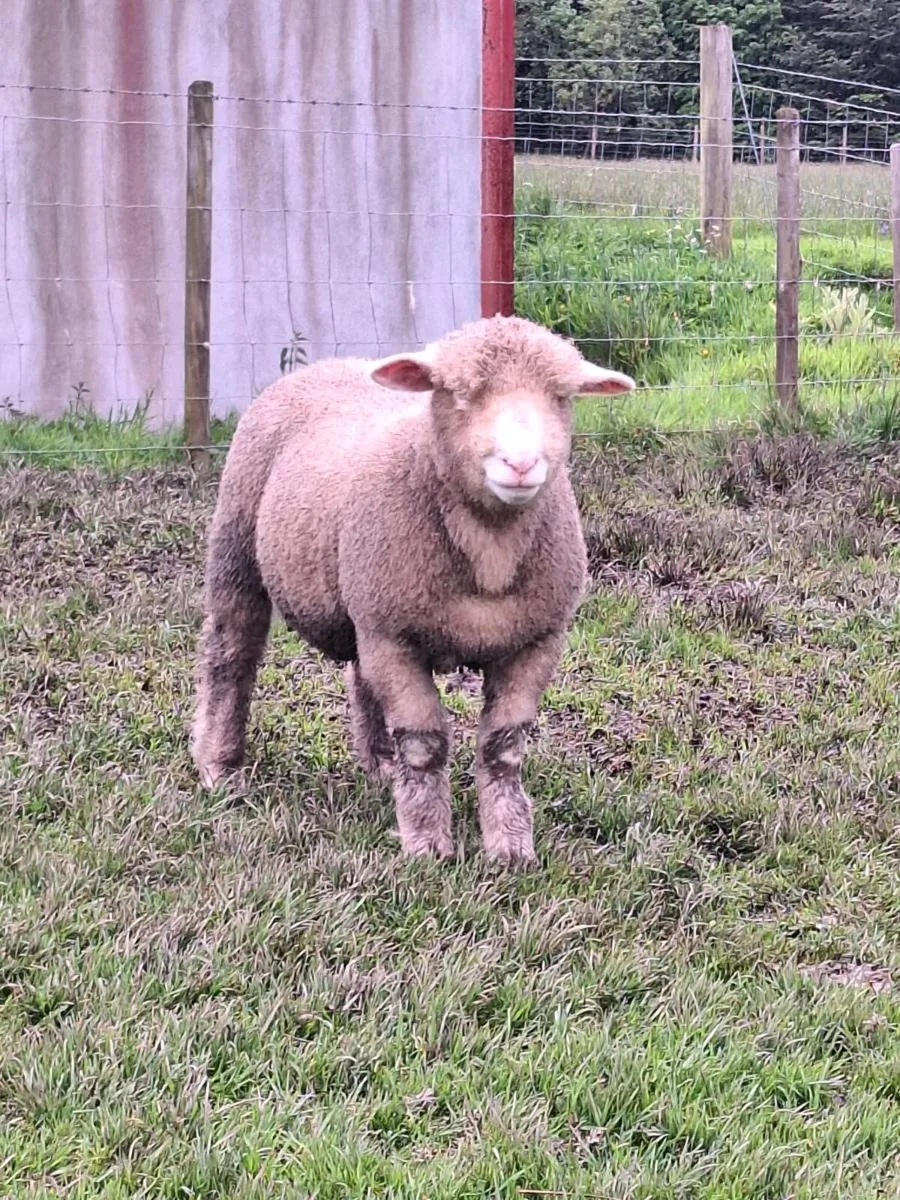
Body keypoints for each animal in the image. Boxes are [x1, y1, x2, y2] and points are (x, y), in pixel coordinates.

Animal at [190, 315, 635, 863]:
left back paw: (380, 765)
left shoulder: (536, 641)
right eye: (460, 393)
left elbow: (504, 747)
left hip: (364, 602)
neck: (490, 551)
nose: (521, 465)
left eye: (561, 397)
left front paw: (510, 847)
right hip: (238, 543)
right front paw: (428, 845)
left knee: (360, 676)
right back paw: (221, 767)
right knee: (232, 655)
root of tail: (326, 365)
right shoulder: (395, 637)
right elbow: (424, 744)